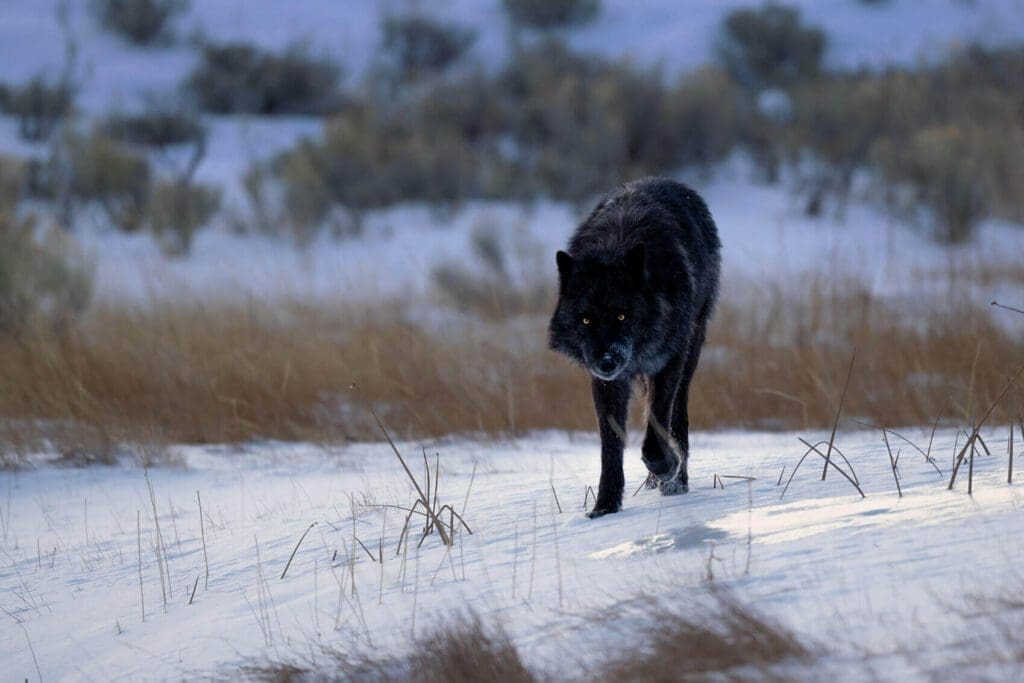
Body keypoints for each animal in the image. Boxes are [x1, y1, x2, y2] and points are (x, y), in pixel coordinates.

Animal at [552, 176, 720, 518]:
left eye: (621, 315)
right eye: (586, 320)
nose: (607, 361)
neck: (614, 245)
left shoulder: (668, 360)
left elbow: (656, 426)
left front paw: (666, 467)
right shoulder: (607, 382)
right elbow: (610, 445)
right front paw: (605, 507)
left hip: (690, 351)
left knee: (677, 415)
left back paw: (676, 481)